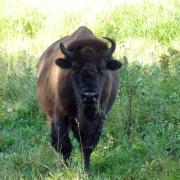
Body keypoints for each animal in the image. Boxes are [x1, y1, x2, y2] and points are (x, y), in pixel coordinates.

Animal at [36, 26, 121, 172]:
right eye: (74, 67)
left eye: (102, 68)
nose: (89, 96)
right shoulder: (60, 115)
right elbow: (64, 145)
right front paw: (67, 169)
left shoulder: (97, 118)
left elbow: (87, 146)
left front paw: (86, 171)